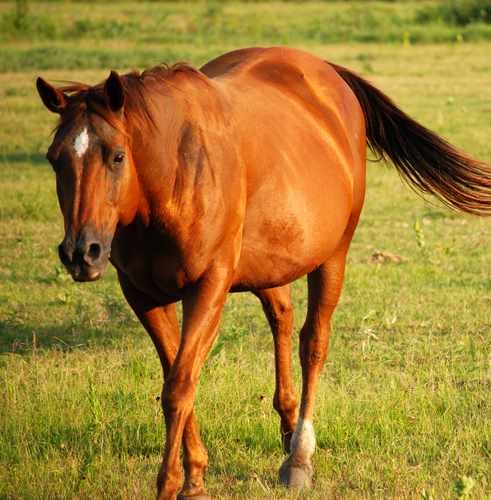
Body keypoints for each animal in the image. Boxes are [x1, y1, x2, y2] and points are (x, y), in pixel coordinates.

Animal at [35, 47, 491, 500]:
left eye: (117, 155)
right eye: (55, 159)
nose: (82, 252)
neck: (173, 176)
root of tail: (325, 71)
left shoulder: (209, 287)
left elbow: (180, 386)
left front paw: (176, 484)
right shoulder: (143, 296)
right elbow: (176, 380)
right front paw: (194, 475)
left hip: (333, 256)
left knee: (313, 343)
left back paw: (299, 456)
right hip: (271, 263)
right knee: (282, 318)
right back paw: (287, 427)